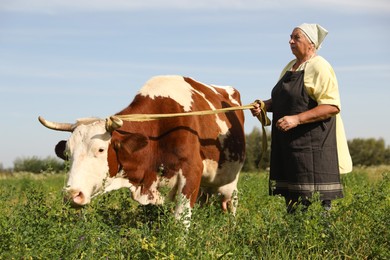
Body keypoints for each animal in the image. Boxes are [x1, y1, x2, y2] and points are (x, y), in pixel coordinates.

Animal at [38, 75, 245, 225]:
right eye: (67, 153)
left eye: (101, 149)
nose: (71, 194)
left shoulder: (191, 173)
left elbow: (181, 222)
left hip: (230, 182)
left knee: (232, 204)